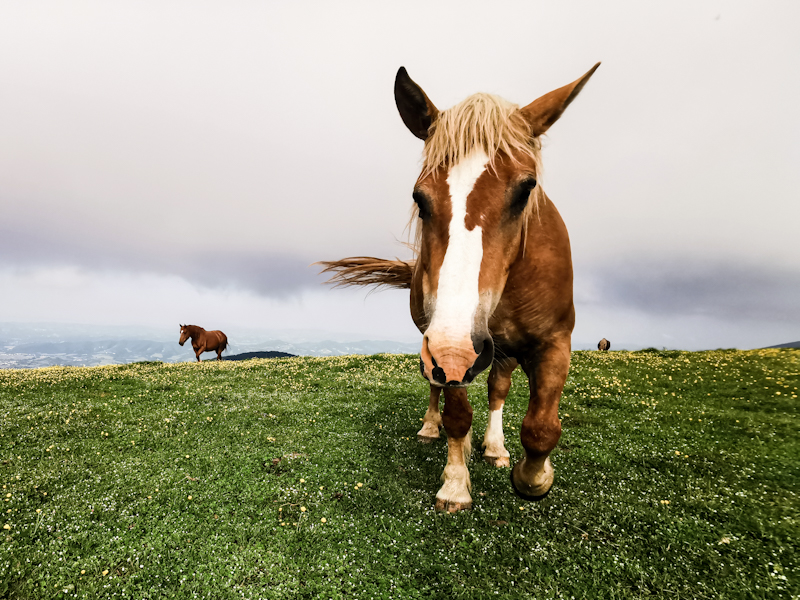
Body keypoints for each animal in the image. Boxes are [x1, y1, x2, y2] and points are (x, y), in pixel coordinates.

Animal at [318, 62, 600, 510]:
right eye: (420, 197)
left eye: (526, 190)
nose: (456, 351)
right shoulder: (444, 346)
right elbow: (457, 415)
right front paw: (454, 483)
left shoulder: (555, 341)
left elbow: (541, 426)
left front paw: (532, 475)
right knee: (441, 390)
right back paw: (434, 430)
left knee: (498, 389)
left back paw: (495, 448)